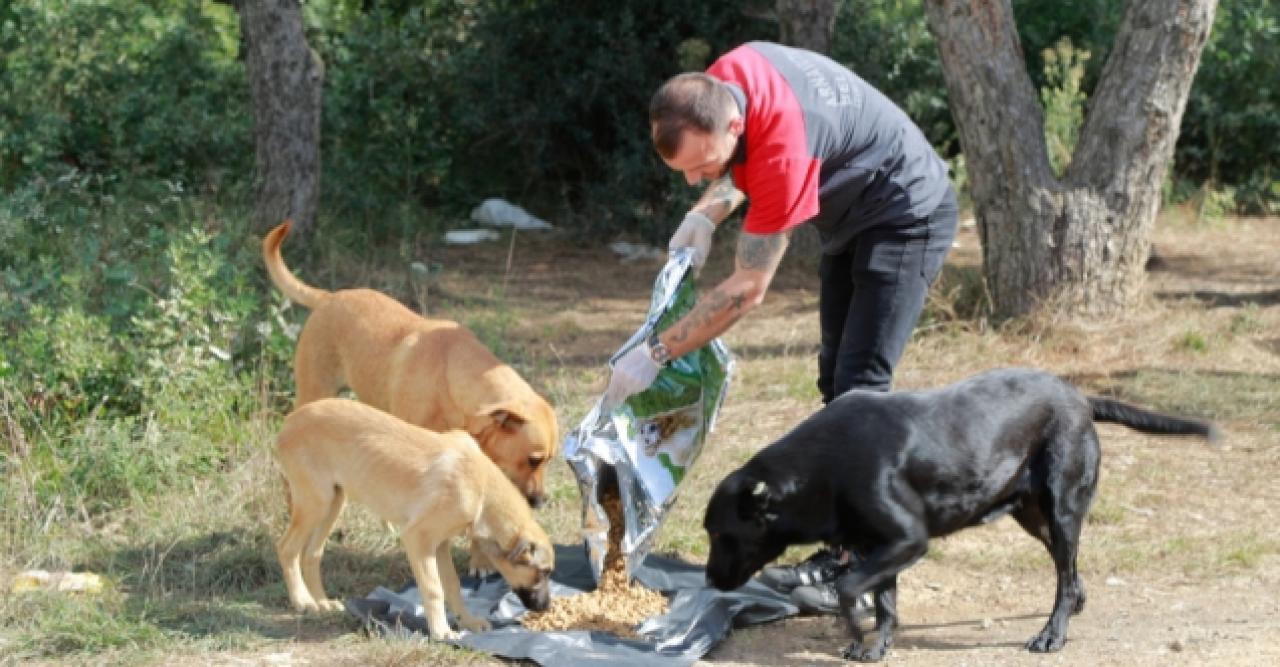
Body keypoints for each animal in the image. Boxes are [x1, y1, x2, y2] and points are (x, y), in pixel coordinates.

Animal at [262, 218, 558, 504]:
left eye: (549, 461)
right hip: (314, 392)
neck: (449, 381)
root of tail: (329, 297)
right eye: (534, 459)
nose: (541, 501)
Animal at [272, 396, 552, 637]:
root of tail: (290, 420)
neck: (481, 488)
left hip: (333, 501)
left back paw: (322, 602)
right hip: (315, 502)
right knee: (287, 548)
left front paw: (468, 622)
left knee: (312, 553)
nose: (547, 608)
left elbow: (452, 585)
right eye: (542, 573)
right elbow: (434, 588)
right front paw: (441, 632)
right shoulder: (418, 538)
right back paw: (303, 601)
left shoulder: (439, 544)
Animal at [706, 366, 1213, 660]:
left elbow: (850, 587)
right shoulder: (880, 547)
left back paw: (1052, 635)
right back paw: (1077, 604)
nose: (709, 580)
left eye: (721, 534)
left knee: (1064, 576)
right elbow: (885, 603)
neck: (823, 465)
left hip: (1063, 508)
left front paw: (853, 628)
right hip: (1033, 515)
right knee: (1068, 570)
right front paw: (877, 647)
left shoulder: (908, 541)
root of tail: (1081, 398)